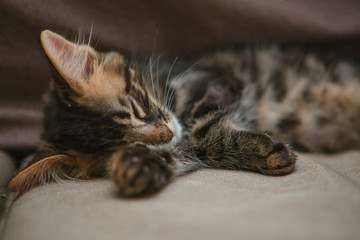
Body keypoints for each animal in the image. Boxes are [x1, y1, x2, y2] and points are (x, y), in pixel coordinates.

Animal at [7, 30, 360, 196]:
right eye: (127, 145)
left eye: (138, 111)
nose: (167, 133)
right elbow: (188, 148)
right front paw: (138, 168)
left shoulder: (215, 80)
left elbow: (203, 132)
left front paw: (267, 152)